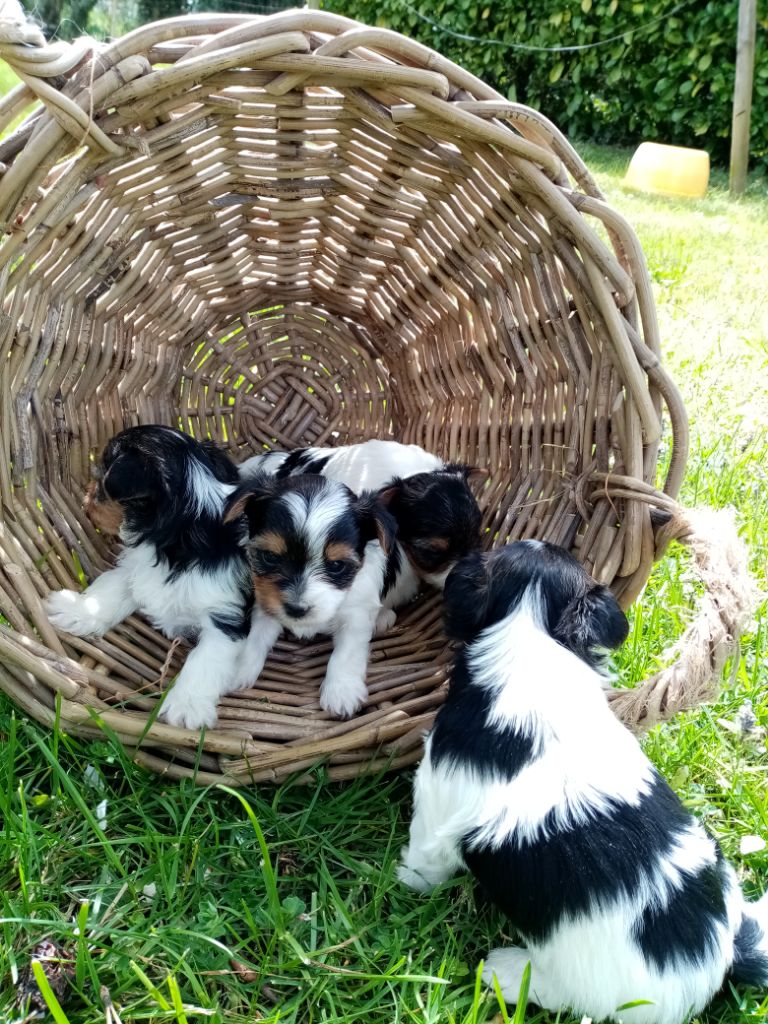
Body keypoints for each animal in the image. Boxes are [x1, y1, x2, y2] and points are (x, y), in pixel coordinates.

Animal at [43, 423, 253, 729]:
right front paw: (76, 610)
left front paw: (186, 706)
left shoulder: (225, 615)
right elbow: (111, 590)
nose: (87, 497)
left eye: (104, 484)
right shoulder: (138, 569)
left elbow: (205, 659)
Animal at [397, 540, 768, 1019]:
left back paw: (504, 970)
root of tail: (721, 963)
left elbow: (425, 858)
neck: (531, 643)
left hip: (577, 987)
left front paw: (404, 880)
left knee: (549, 991)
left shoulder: (436, 795)